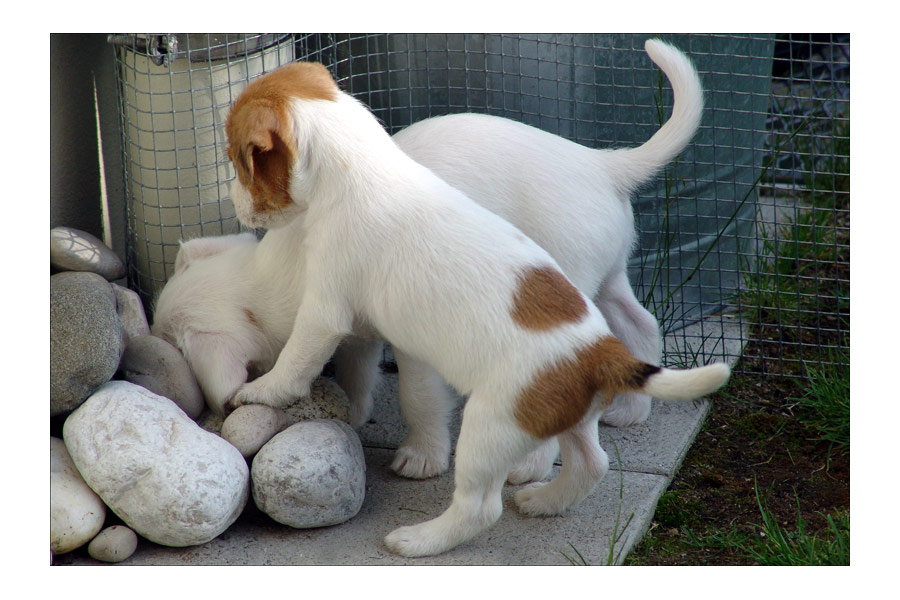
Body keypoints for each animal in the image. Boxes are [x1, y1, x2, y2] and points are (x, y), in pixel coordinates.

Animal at [206, 39, 732, 556]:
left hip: (492, 425)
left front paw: (259, 390)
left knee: (482, 507)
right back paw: (548, 495)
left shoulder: (325, 311)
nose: (230, 203)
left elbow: (297, 364)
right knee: (596, 448)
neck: (360, 169)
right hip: (587, 360)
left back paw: (424, 538)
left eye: (237, 159)